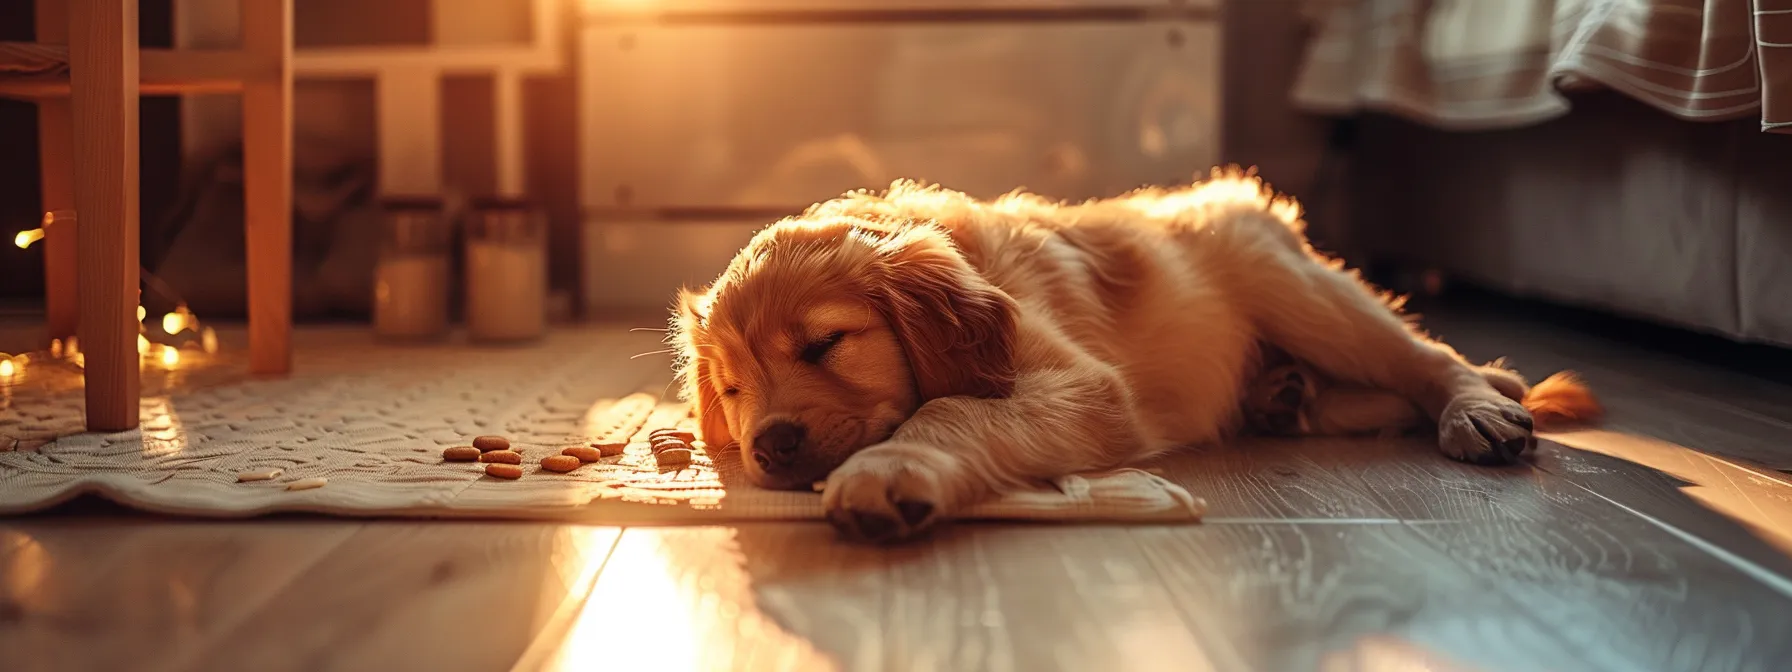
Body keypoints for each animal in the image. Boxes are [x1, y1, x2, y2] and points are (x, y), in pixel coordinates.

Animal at [670, 167, 1598, 541]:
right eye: (733, 387)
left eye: (827, 343)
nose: (769, 447)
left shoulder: (1086, 386)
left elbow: (950, 408)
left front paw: (890, 470)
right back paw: (1282, 396)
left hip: (1295, 286)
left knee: (1424, 357)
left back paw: (1478, 408)